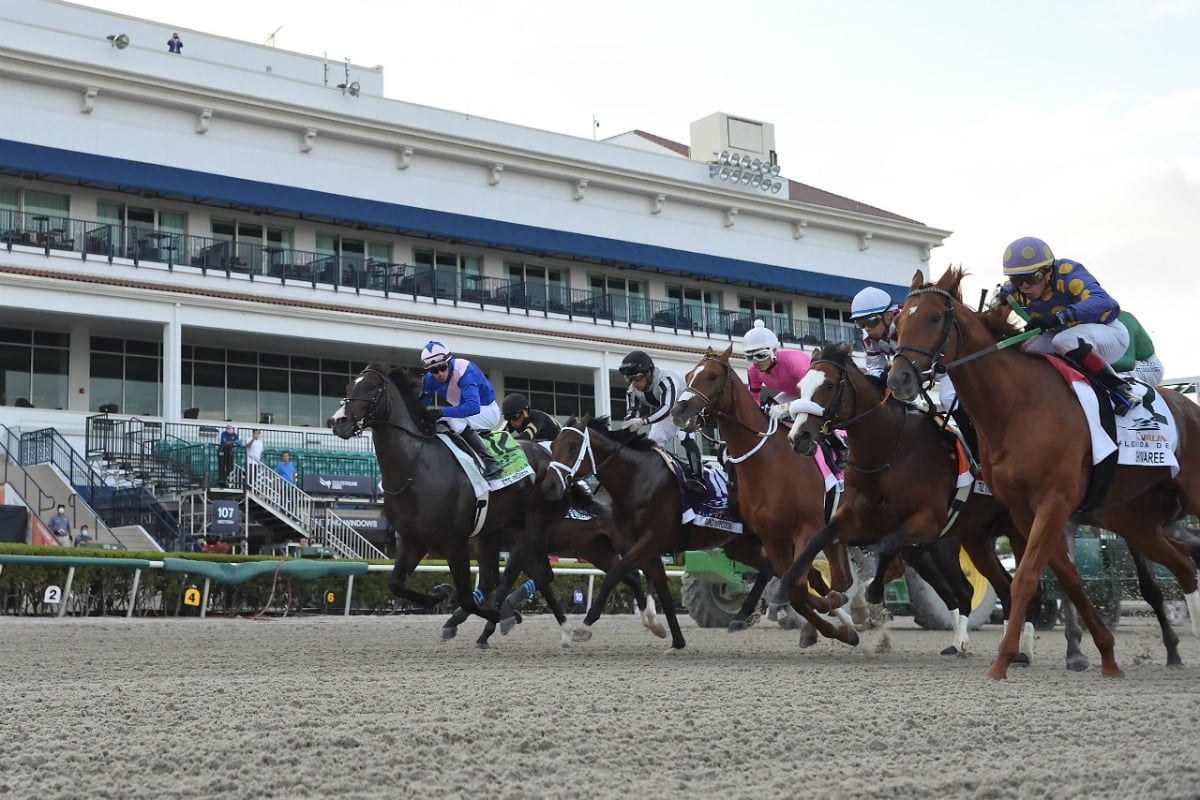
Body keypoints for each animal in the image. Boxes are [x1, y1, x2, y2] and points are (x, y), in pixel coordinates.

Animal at [676, 347, 864, 652]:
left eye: (712, 376)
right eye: (689, 375)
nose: (679, 411)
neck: (768, 463)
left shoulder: (806, 529)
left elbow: (797, 585)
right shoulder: (772, 538)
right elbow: (797, 588)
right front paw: (836, 626)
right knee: (840, 578)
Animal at [782, 340, 1027, 662]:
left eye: (830, 385)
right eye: (800, 386)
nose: (798, 437)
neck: (889, 451)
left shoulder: (925, 520)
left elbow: (885, 549)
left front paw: (869, 596)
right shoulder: (856, 519)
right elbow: (819, 540)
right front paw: (788, 588)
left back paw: (1019, 649)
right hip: (967, 539)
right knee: (983, 588)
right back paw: (967, 644)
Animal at [888, 266, 1200, 681]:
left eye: (935, 318)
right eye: (899, 322)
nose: (898, 380)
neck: (1017, 406)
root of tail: (1188, 405)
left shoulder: (1054, 501)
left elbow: (1025, 579)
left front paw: (1003, 659)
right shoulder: (1025, 511)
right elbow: (1068, 580)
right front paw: (1106, 655)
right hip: (1136, 521)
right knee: (1183, 563)